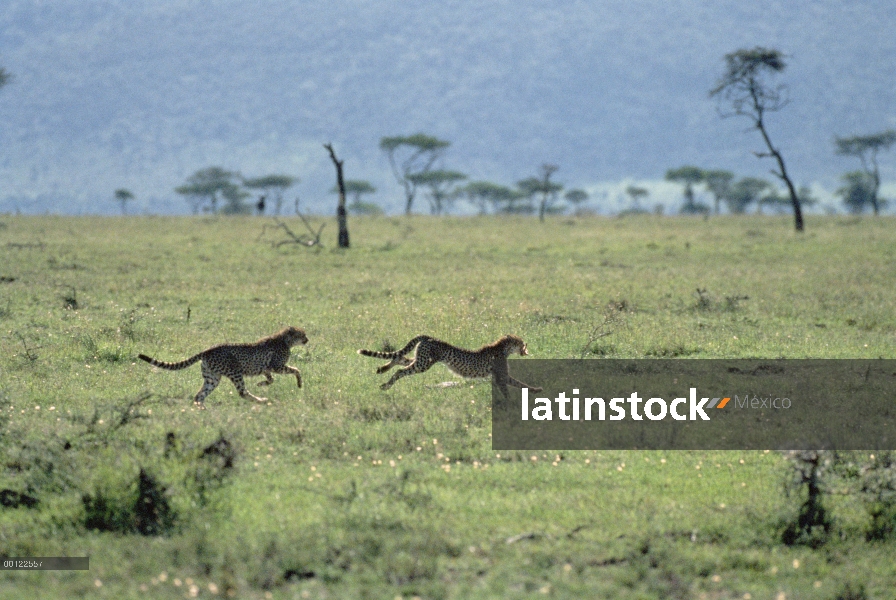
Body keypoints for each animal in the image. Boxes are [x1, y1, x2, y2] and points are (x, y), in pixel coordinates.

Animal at [138, 326, 308, 406]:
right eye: (302, 334)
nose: (307, 340)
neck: (285, 340)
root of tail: (208, 349)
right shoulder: (276, 366)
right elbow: (296, 370)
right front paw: (300, 384)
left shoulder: (267, 368)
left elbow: (271, 378)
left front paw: (262, 383)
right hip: (234, 372)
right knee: (242, 392)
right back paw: (262, 400)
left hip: (212, 378)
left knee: (199, 395)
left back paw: (202, 411)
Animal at [356, 332, 540, 394]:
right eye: (520, 342)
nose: (525, 347)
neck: (502, 348)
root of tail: (429, 337)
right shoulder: (502, 376)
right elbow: (516, 384)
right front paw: (534, 390)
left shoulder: (496, 376)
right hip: (423, 364)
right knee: (401, 371)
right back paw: (386, 385)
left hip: (422, 360)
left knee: (399, 358)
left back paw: (382, 369)